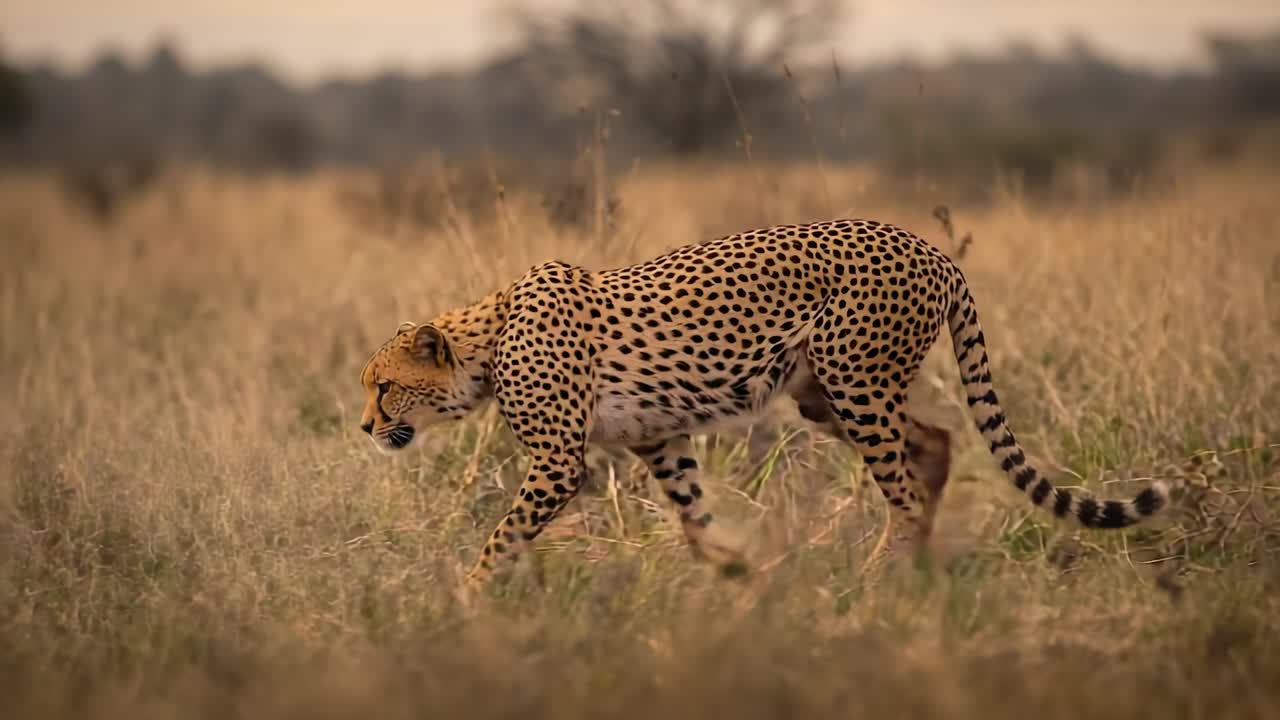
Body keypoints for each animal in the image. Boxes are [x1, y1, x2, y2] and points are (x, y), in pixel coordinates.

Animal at [358, 218, 1169, 586]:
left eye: (384, 384)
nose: (365, 427)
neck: (486, 338)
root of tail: (928, 247)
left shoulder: (559, 462)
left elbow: (502, 537)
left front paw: (467, 602)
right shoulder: (660, 439)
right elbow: (692, 515)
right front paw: (734, 573)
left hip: (855, 379)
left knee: (904, 487)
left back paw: (882, 577)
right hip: (825, 394)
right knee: (935, 443)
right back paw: (918, 568)